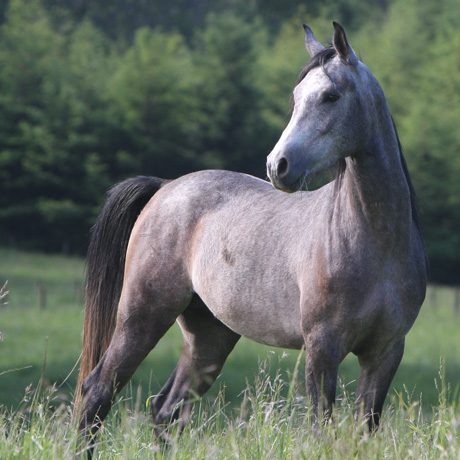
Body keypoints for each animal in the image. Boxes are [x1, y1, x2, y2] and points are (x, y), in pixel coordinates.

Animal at [75, 22, 427, 442]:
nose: (278, 166)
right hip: (142, 316)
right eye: (296, 97)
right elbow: (320, 427)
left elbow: (364, 430)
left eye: (330, 96)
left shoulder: (385, 353)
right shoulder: (322, 349)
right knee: (99, 391)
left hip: (209, 338)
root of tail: (165, 187)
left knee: (165, 410)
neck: (373, 241)